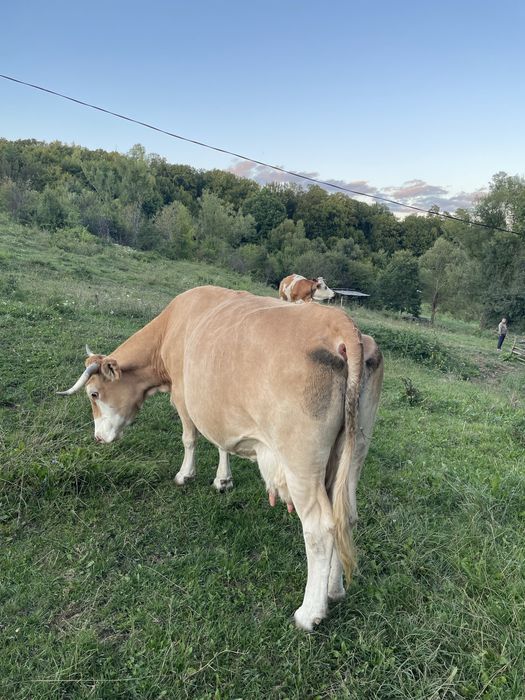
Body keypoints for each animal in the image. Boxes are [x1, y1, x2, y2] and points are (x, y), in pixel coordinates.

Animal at [58, 286, 383, 631]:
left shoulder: (183, 395)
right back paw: (334, 590)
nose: (98, 438)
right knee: (344, 516)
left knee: (320, 528)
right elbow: (221, 442)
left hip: (301, 462)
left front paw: (185, 475)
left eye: (94, 394)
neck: (171, 328)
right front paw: (223, 479)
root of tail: (339, 323)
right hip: (353, 452)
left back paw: (310, 613)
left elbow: (190, 438)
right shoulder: (218, 407)